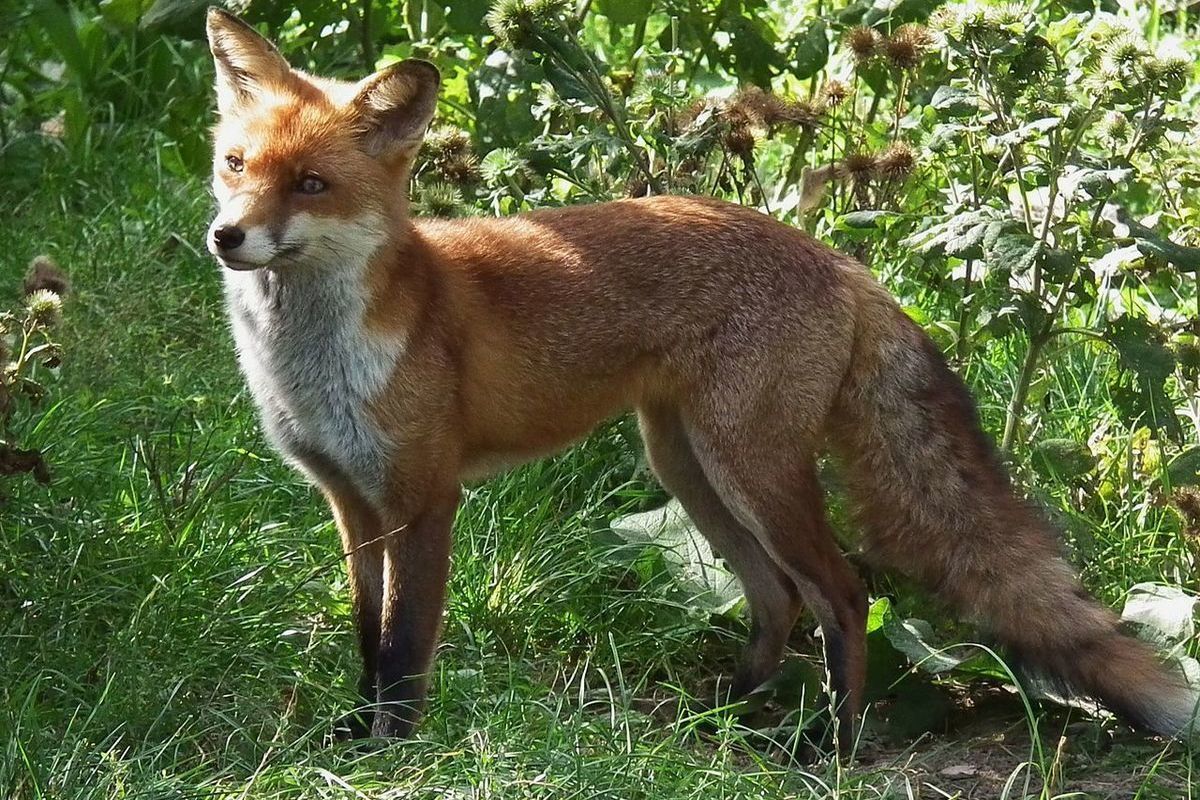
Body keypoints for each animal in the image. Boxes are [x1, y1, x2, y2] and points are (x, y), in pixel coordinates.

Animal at [201, 9, 1195, 748]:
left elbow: (406, 645)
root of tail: (842, 261)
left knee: (843, 593)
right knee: (776, 596)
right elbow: (367, 635)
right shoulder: (351, 503)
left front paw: (394, 750)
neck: (313, 360)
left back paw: (830, 746)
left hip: (748, 468)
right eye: (235, 165)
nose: (226, 236)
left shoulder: (423, 498)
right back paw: (731, 714)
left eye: (313, 184)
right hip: (687, 467)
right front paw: (352, 732)